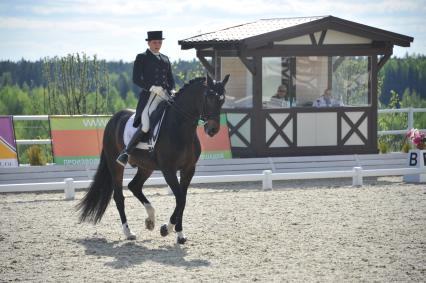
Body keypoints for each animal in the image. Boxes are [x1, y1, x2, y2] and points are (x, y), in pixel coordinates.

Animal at [76, 75, 230, 244]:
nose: (213, 130)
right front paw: (167, 229)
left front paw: (179, 234)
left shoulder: (188, 170)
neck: (180, 127)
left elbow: (182, 199)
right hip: (115, 166)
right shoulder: (168, 170)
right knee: (119, 197)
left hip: (146, 167)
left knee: (134, 186)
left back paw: (150, 219)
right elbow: (180, 199)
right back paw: (129, 232)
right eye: (209, 97)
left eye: (222, 99)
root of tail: (114, 119)